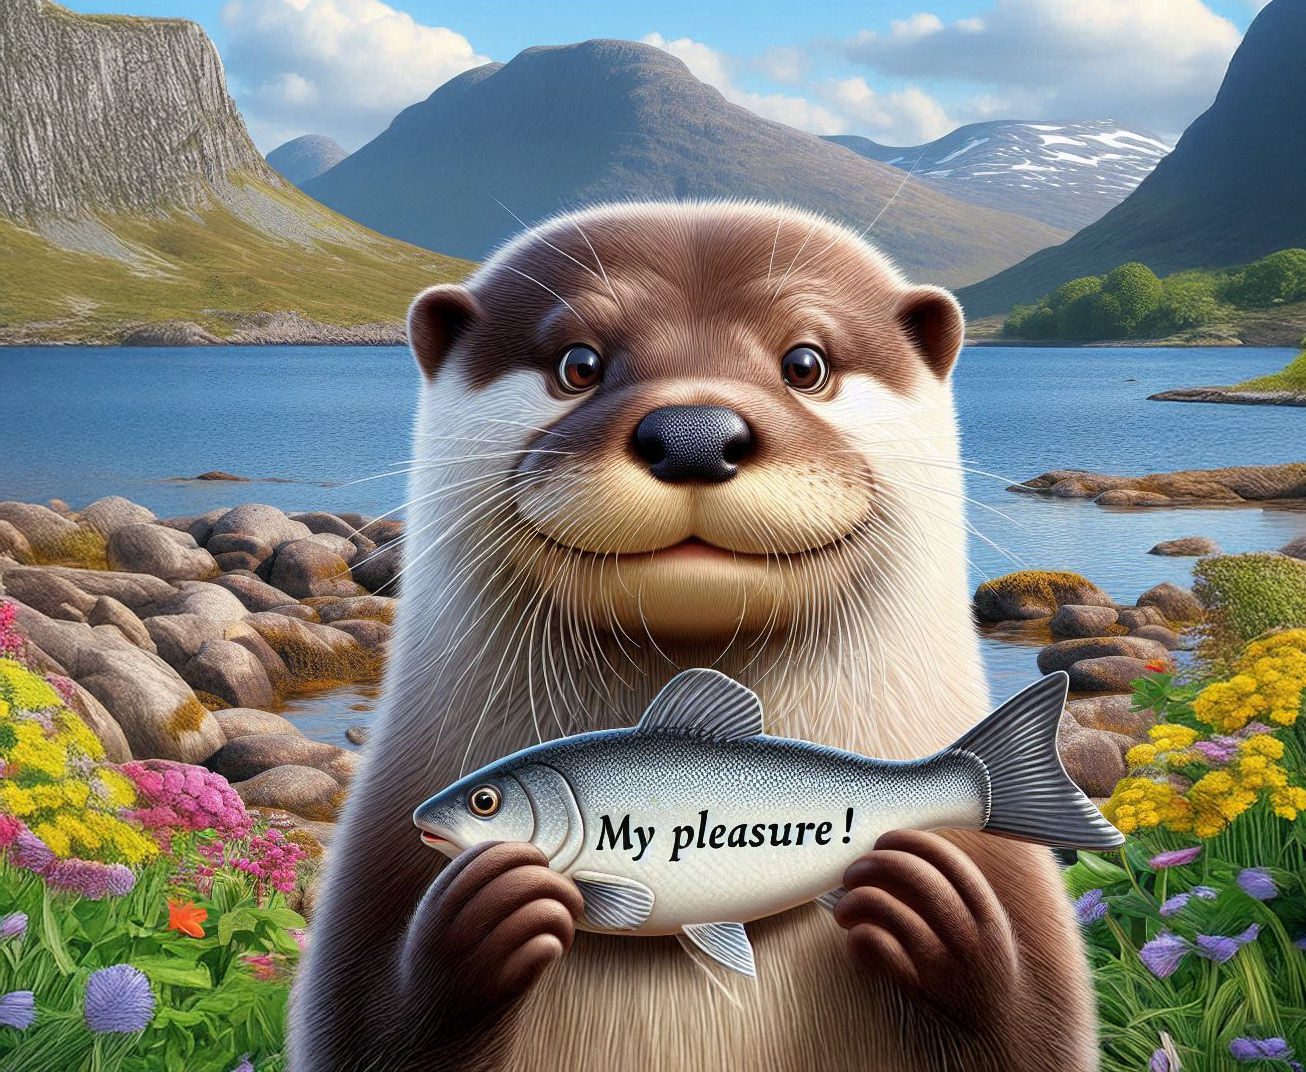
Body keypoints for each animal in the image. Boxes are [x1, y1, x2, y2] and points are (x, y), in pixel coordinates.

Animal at [289, 202, 1098, 1072]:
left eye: (806, 363)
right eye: (579, 363)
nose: (694, 434)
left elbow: (1029, 1033)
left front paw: (941, 905)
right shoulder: (368, 892)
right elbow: (376, 1031)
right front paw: (480, 909)